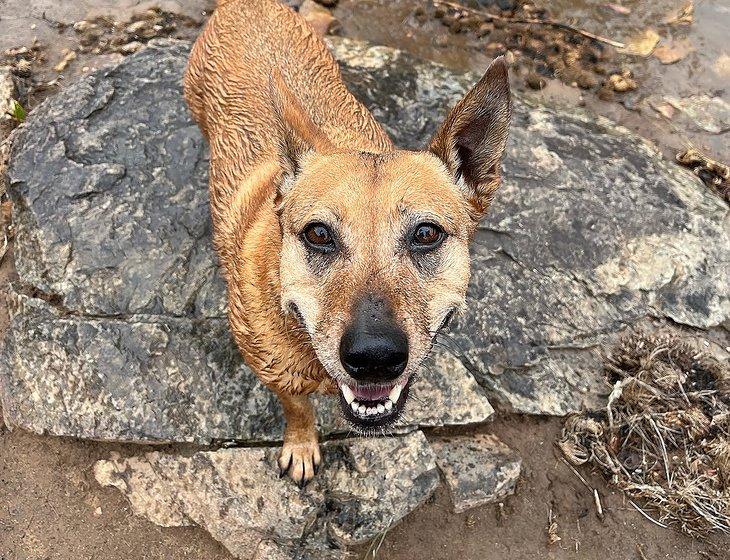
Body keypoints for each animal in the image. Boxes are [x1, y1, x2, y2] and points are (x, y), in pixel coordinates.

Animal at [185, 0, 510, 486]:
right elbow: (297, 409)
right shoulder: (273, 375)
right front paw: (302, 444)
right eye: (318, 234)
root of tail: (244, 4)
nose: (374, 357)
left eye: (426, 234)